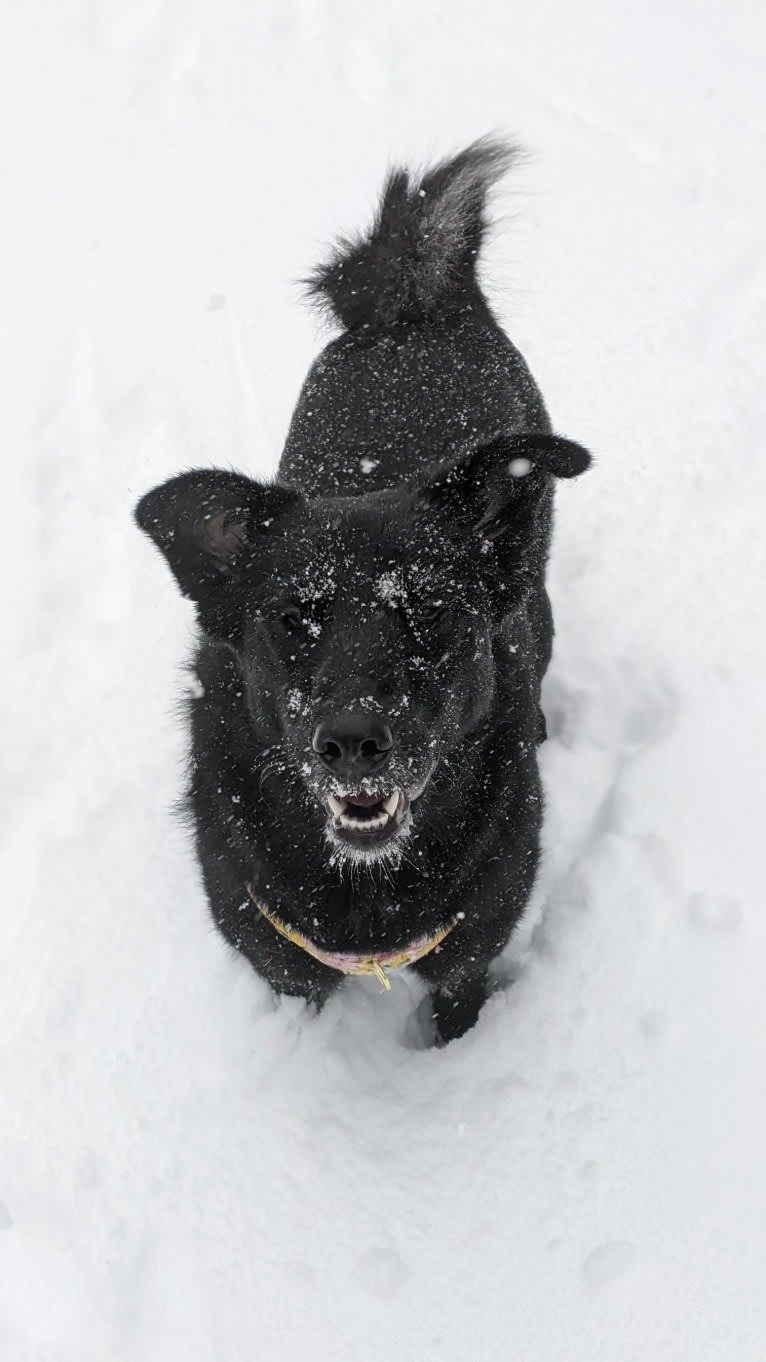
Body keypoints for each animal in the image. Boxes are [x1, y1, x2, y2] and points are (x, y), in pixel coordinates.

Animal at [135, 140, 591, 1040]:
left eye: (432, 610)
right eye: (290, 618)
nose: (350, 742)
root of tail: (415, 307)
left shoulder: (471, 949)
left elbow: (459, 1000)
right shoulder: (274, 952)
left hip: (540, 594)